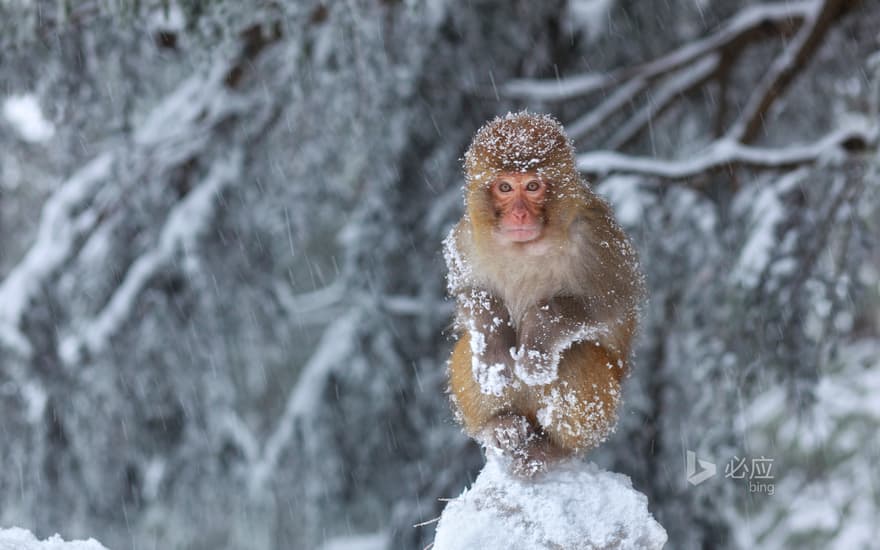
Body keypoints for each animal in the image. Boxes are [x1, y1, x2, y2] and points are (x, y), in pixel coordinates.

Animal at [444, 112, 644, 478]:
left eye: (533, 186)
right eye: (505, 187)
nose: (520, 214)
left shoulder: (599, 239)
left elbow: (611, 305)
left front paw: (539, 331)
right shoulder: (466, 239)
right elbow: (470, 296)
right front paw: (494, 348)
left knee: (576, 355)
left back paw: (553, 450)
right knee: (468, 346)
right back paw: (498, 426)